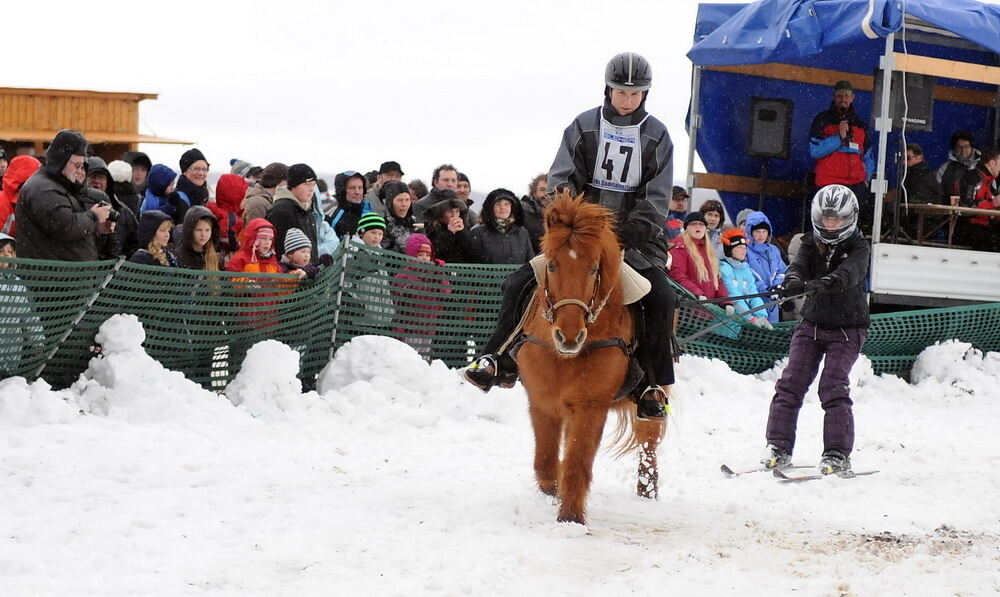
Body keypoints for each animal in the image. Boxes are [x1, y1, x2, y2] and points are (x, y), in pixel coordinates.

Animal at [516, 193, 664, 524]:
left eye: (594, 269)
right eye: (552, 265)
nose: (569, 336)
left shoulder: (591, 406)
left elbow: (577, 463)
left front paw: (571, 518)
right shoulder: (542, 401)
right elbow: (546, 462)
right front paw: (555, 492)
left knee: (649, 439)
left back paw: (647, 485)